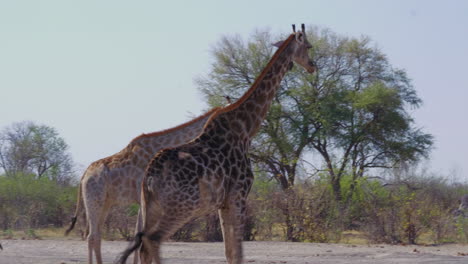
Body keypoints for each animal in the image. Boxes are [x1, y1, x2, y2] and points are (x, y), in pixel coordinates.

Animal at [64, 105, 221, 264]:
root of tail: (84, 176)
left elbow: (138, 234)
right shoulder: (146, 199)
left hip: (105, 203)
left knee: (97, 235)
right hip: (94, 200)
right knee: (92, 236)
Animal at [115, 23, 316, 262]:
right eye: (308, 46)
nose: (313, 66)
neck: (246, 129)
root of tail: (150, 177)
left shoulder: (224, 202)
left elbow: (229, 252)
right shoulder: (239, 195)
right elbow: (237, 252)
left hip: (151, 207)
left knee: (143, 245)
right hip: (181, 207)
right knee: (152, 240)